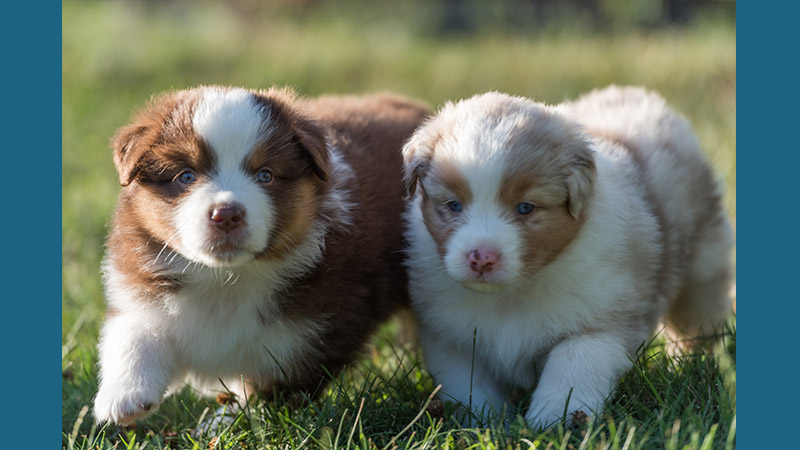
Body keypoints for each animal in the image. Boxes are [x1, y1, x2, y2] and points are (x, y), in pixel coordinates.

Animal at [92, 85, 432, 426]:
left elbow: (268, 387)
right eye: (186, 176)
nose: (227, 215)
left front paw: (230, 420)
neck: (227, 279)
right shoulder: (143, 289)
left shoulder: (310, 337)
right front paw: (124, 397)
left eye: (265, 175)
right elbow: (133, 333)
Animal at [404, 85, 736, 428]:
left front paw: (553, 421)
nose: (481, 258)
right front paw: (486, 424)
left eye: (526, 207)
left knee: (697, 323)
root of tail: (633, 93)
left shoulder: (601, 321)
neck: (513, 295)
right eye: (453, 205)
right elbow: (470, 385)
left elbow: (572, 366)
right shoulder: (448, 334)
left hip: (703, 270)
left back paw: (690, 365)